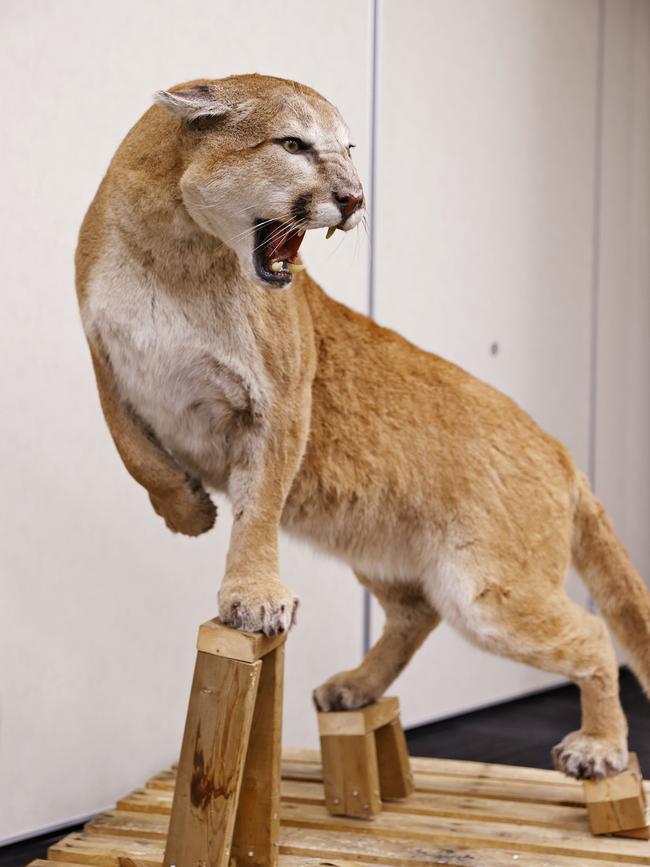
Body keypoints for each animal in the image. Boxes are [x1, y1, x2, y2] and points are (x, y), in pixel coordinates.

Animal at [77, 74, 648, 780]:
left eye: (349, 148)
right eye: (293, 145)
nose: (355, 197)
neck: (174, 252)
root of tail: (560, 447)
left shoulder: (282, 399)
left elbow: (258, 507)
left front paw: (252, 595)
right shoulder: (106, 362)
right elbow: (135, 453)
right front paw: (187, 512)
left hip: (486, 590)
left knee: (591, 635)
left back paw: (599, 748)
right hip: (380, 542)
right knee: (415, 611)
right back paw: (355, 687)